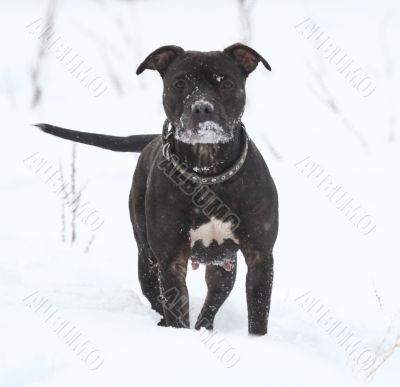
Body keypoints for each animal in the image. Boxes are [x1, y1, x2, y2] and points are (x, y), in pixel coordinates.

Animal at [36, 43, 278, 336]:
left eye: (227, 82)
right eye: (180, 83)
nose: (202, 108)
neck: (207, 172)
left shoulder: (260, 256)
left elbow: (259, 312)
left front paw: (257, 341)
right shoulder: (170, 259)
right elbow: (175, 310)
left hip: (222, 264)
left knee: (214, 296)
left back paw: (204, 327)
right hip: (147, 258)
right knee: (156, 297)